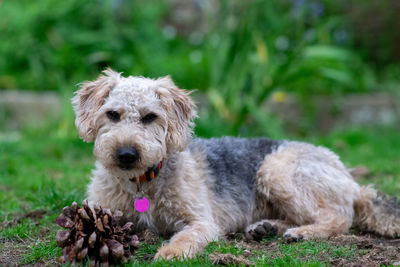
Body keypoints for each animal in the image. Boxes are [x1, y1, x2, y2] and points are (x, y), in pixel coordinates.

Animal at [72, 68, 400, 260]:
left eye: (149, 117)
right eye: (112, 114)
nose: (126, 154)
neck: (142, 183)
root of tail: (349, 178)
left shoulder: (202, 221)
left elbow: (186, 237)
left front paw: (169, 253)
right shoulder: (105, 209)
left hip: (275, 171)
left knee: (339, 218)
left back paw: (303, 233)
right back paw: (267, 227)